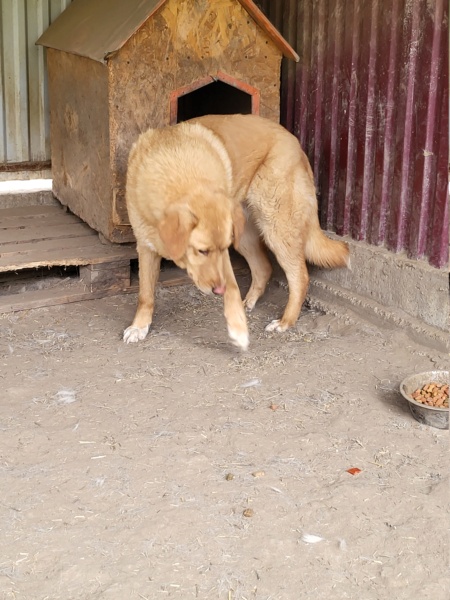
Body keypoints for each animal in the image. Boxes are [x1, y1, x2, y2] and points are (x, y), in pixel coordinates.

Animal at [124, 113, 352, 350]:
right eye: (201, 251)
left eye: (213, 250)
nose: (218, 291)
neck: (175, 168)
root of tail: (294, 141)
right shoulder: (145, 247)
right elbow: (145, 294)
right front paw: (139, 326)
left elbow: (232, 288)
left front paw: (238, 330)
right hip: (245, 238)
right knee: (264, 268)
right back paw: (250, 302)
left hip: (276, 230)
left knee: (300, 277)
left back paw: (285, 321)